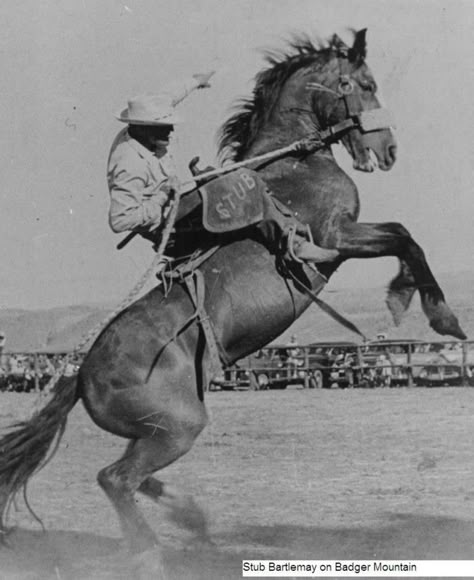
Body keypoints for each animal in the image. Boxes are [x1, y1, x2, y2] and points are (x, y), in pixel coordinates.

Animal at [0, 28, 464, 576]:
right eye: (364, 85)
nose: (388, 149)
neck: (292, 162)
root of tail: (78, 374)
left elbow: (402, 235)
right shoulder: (336, 236)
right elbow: (404, 237)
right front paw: (439, 315)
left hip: (157, 430)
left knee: (131, 477)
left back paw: (189, 516)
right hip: (178, 427)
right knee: (116, 478)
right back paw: (152, 552)